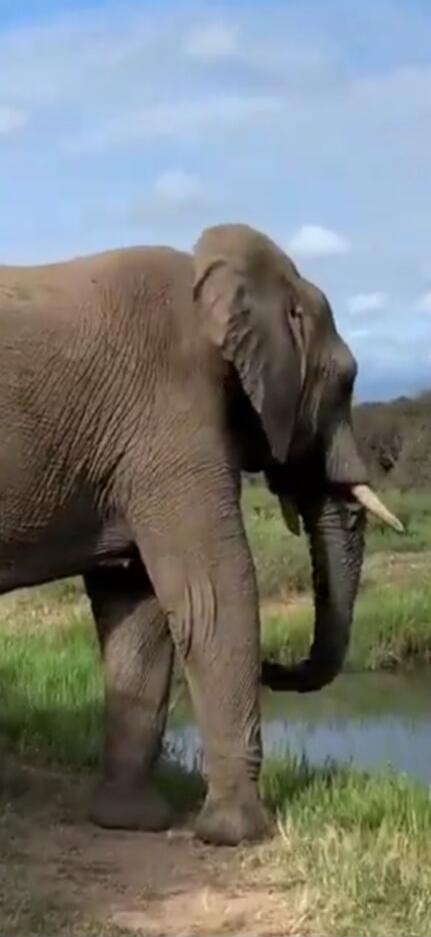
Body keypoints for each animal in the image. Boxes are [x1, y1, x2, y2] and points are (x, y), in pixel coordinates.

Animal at [0, 222, 402, 846]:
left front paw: (131, 823)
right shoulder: (171, 419)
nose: (276, 666)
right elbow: (214, 592)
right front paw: (237, 833)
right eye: (347, 381)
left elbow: (138, 608)